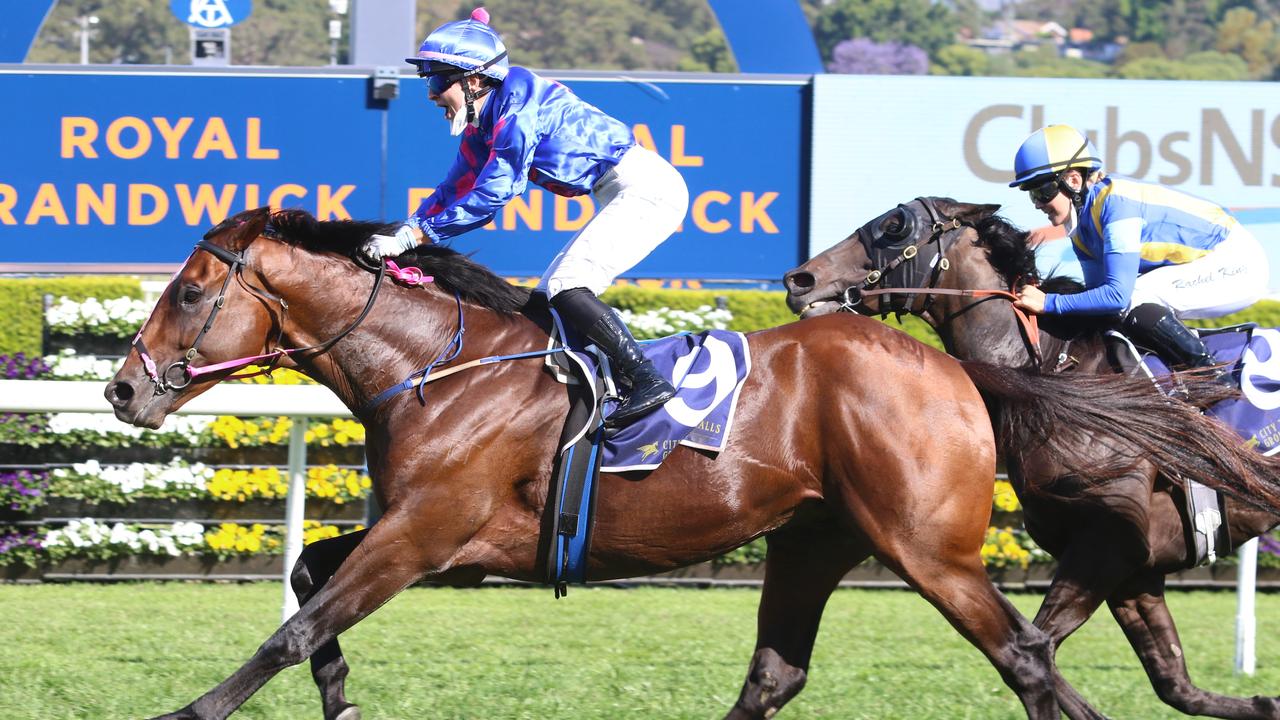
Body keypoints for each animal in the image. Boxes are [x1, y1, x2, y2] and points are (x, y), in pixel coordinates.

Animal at [104, 206, 1080, 717]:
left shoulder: (422, 537)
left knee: (1024, 656)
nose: (121, 390)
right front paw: (340, 695)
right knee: (779, 672)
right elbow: (308, 575)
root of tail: (953, 366)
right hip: (815, 538)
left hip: (927, 548)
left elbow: (290, 630)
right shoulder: (431, 537)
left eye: (188, 293)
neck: (437, 369)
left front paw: (190, 712)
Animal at [778, 193, 1280, 712]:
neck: (1058, 374)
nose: (799, 280)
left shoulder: (1110, 546)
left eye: (895, 225)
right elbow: (1171, 682)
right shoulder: (1136, 569)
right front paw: (1264, 704)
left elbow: (1040, 644)